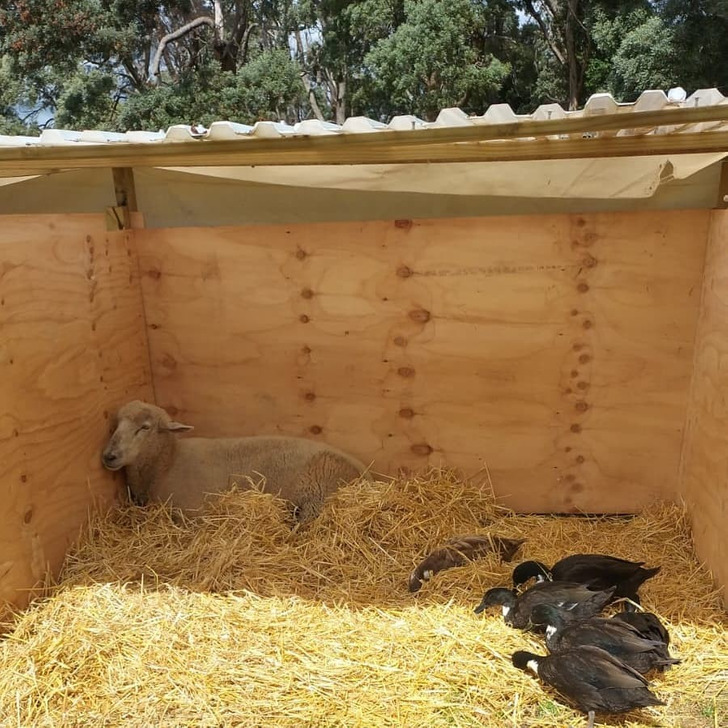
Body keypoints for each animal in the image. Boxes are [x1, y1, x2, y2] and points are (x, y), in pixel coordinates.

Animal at [101, 400, 370, 521]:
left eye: (144, 428)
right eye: (115, 425)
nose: (109, 455)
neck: (167, 461)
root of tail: (364, 472)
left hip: (315, 494)